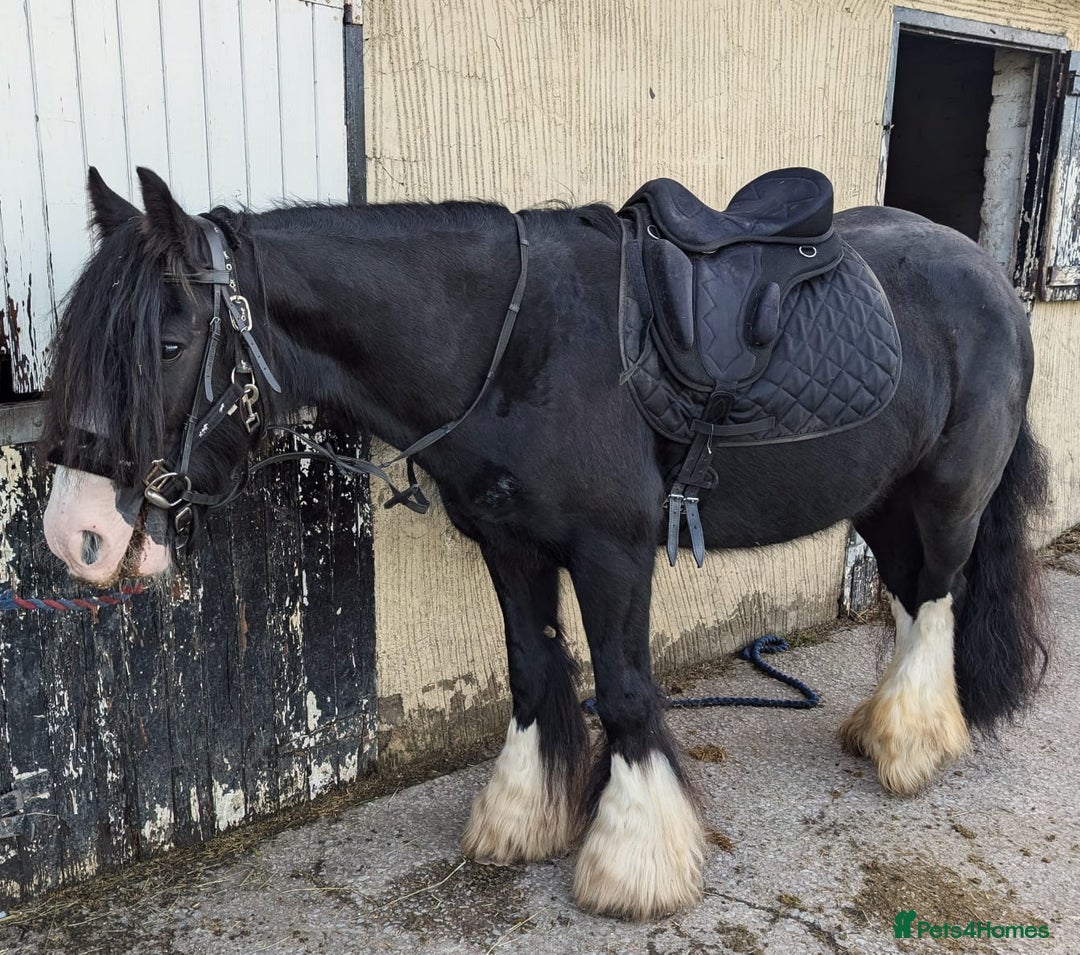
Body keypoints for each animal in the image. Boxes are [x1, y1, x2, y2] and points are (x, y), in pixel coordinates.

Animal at [39, 166, 1048, 921]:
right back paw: (884, 731)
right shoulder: (510, 543)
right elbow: (531, 669)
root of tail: (991, 274)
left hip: (949, 494)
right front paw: (522, 817)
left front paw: (633, 864)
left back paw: (911, 746)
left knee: (937, 594)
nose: (76, 533)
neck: (513, 342)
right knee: (911, 591)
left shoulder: (614, 552)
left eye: (170, 343)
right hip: (881, 494)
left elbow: (629, 693)